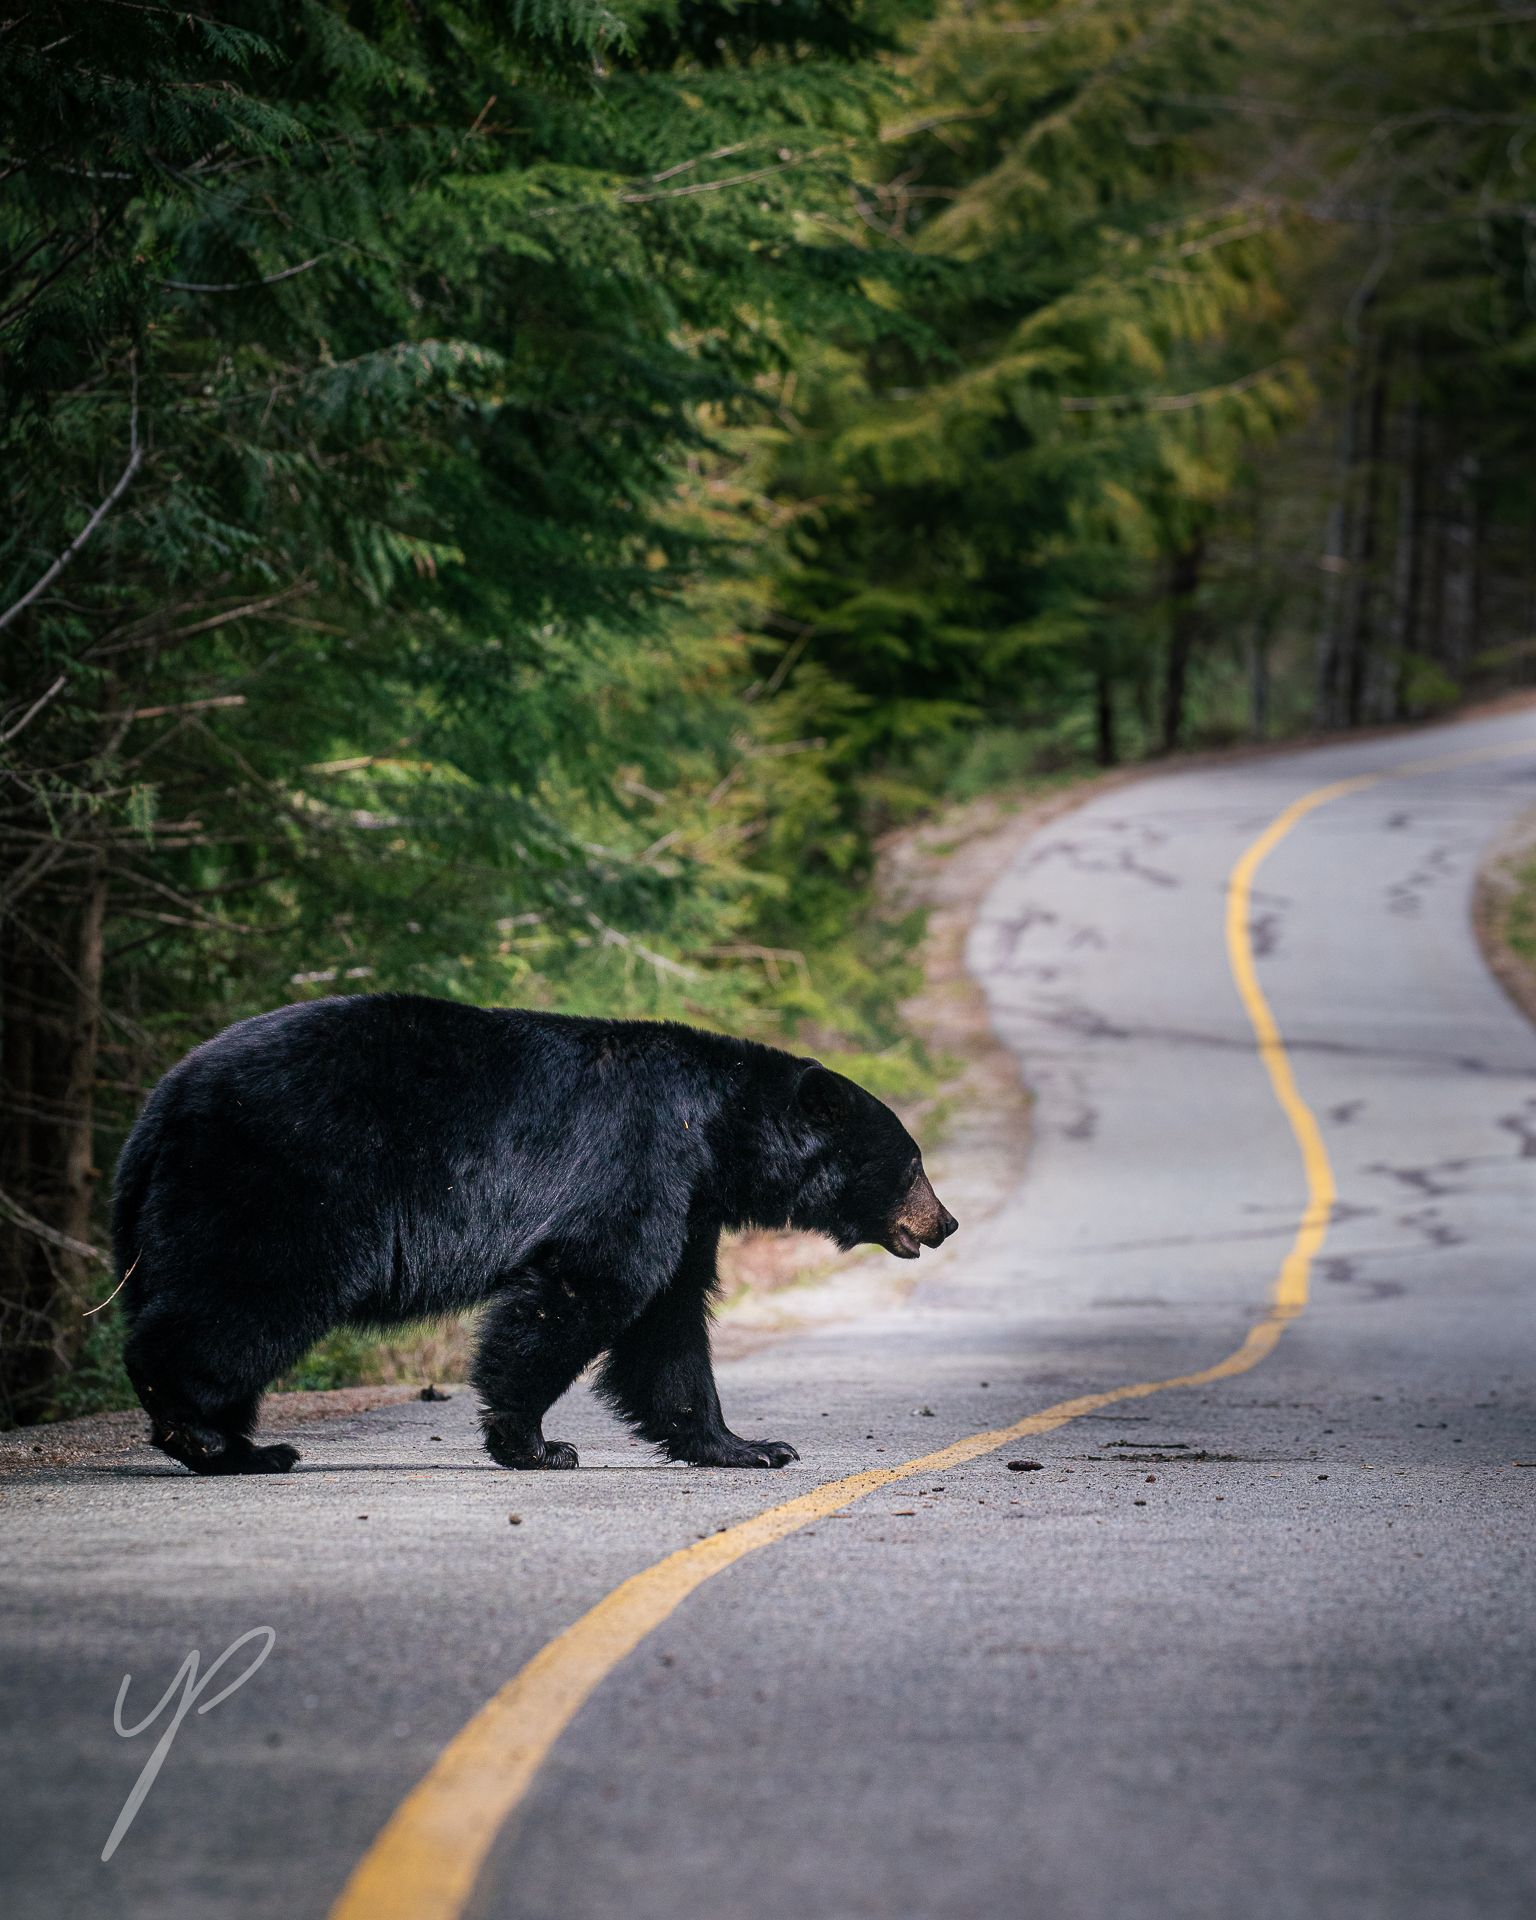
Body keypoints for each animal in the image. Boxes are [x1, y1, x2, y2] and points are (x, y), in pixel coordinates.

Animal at [120, 998, 952, 1474]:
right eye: (913, 1162)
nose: (944, 1222)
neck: (715, 1133)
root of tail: (163, 1100)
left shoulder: (689, 1202)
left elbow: (669, 1324)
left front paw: (751, 1446)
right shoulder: (636, 1161)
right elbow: (593, 1283)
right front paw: (536, 1443)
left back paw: (245, 1446)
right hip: (281, 1180)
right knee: (244, 1294)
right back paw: (205, 1434)